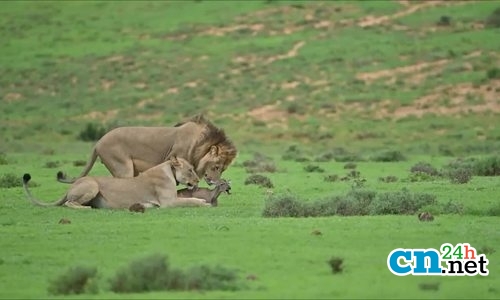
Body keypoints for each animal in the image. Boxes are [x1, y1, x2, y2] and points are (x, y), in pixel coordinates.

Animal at [23, 157, 211, 209]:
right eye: (190, 170)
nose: (197, 180)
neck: (169, 171)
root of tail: (73, 184)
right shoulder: (168, 202)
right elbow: (189, 200)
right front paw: (204, 202)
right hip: (93, 185)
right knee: (69, 203)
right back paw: (87, 208)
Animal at [57, 114, 237, 185]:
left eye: (222, 169)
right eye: (216, 167)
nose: (215, 182)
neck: (199, 143)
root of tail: (98, 141)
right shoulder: (173, 158)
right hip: (123, 167)